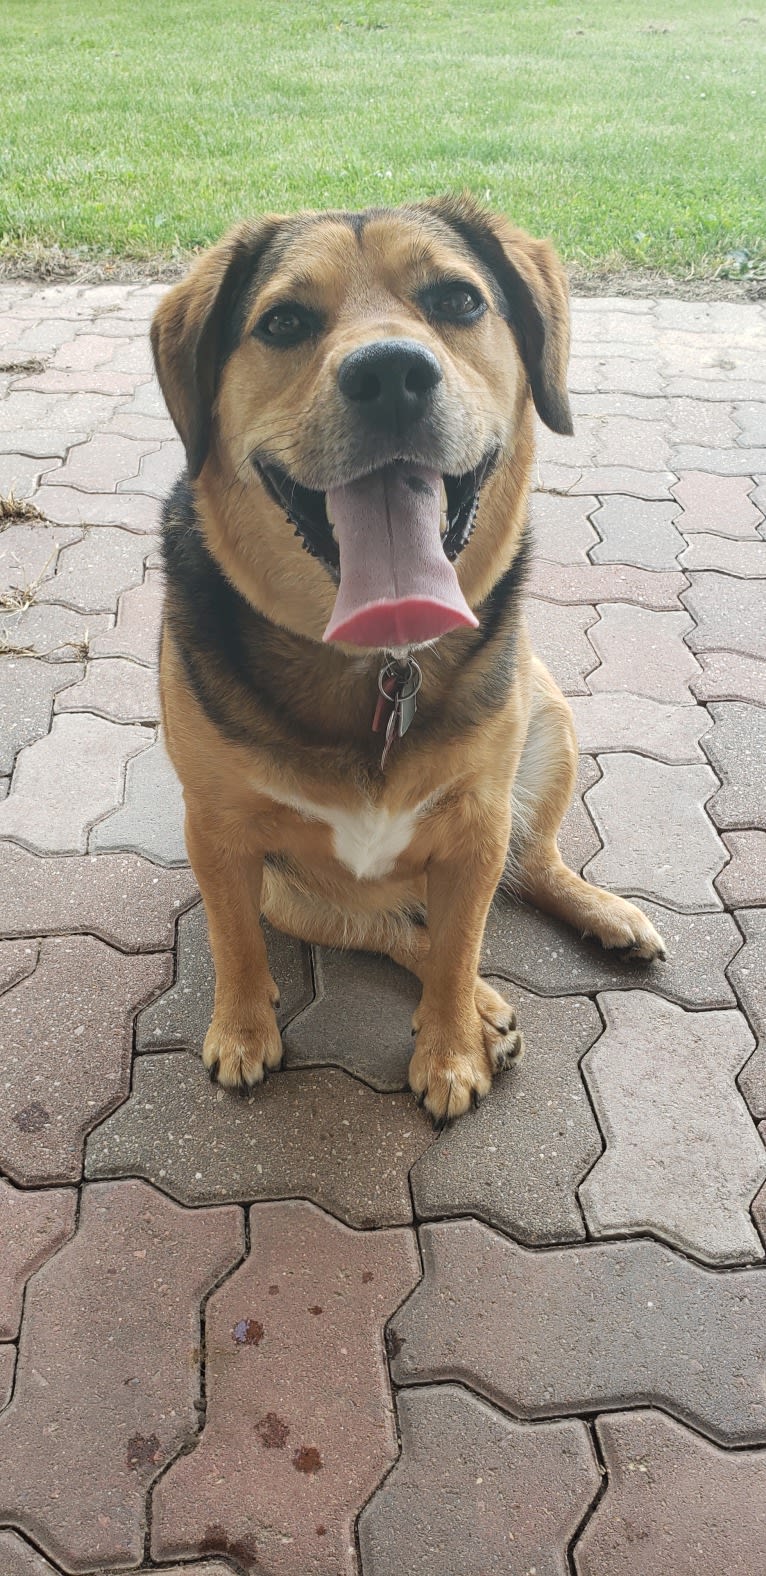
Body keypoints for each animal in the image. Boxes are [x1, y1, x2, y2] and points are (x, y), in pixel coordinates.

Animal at [149, 197, 665, 1128]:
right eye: (284, 322)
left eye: (458, 301)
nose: (390, 372)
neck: (381, 661)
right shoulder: (218, 831)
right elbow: (235, 941)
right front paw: (242, 1033)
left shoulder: (475, 827)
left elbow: (462, 947)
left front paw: (451, 1049)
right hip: (296, 892)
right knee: (394, 930)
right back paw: (487, 1006)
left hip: (551, 716)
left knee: (529, 869)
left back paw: (599, 918)